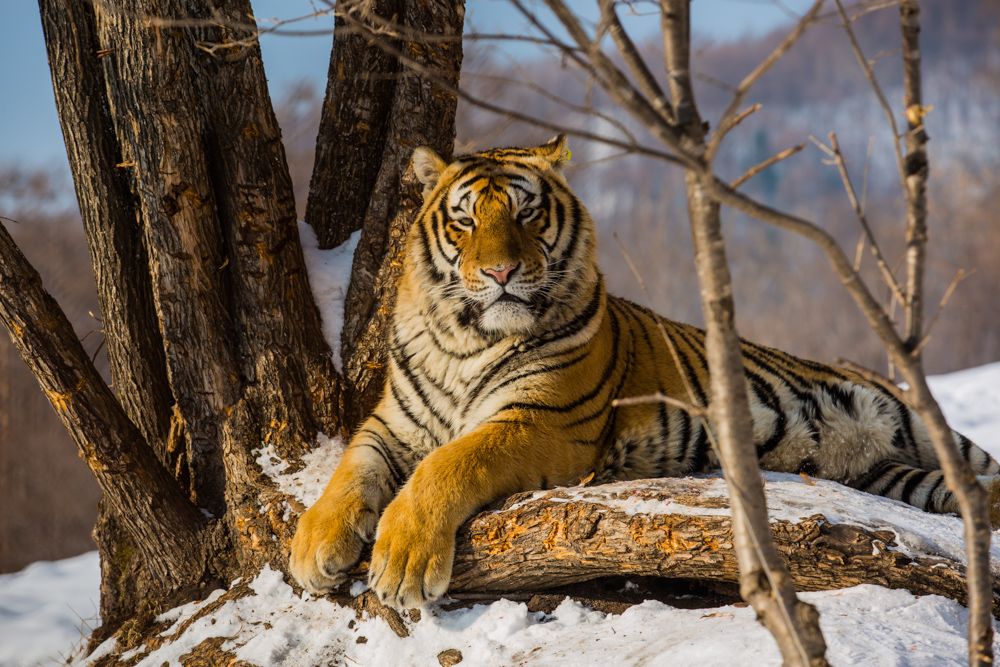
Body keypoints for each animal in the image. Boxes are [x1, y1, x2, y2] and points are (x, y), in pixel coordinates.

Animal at [290, 134, 1000, 612]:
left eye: (525, 213)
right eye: (465, 219)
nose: (500, 272)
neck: (466, 341)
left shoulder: (542, 422)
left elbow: (451, 464)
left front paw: (402, 563)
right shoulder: (393, 424)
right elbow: (352, 469)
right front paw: (313, 548)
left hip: (912, 420)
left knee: (976, 468)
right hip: (889, 474)